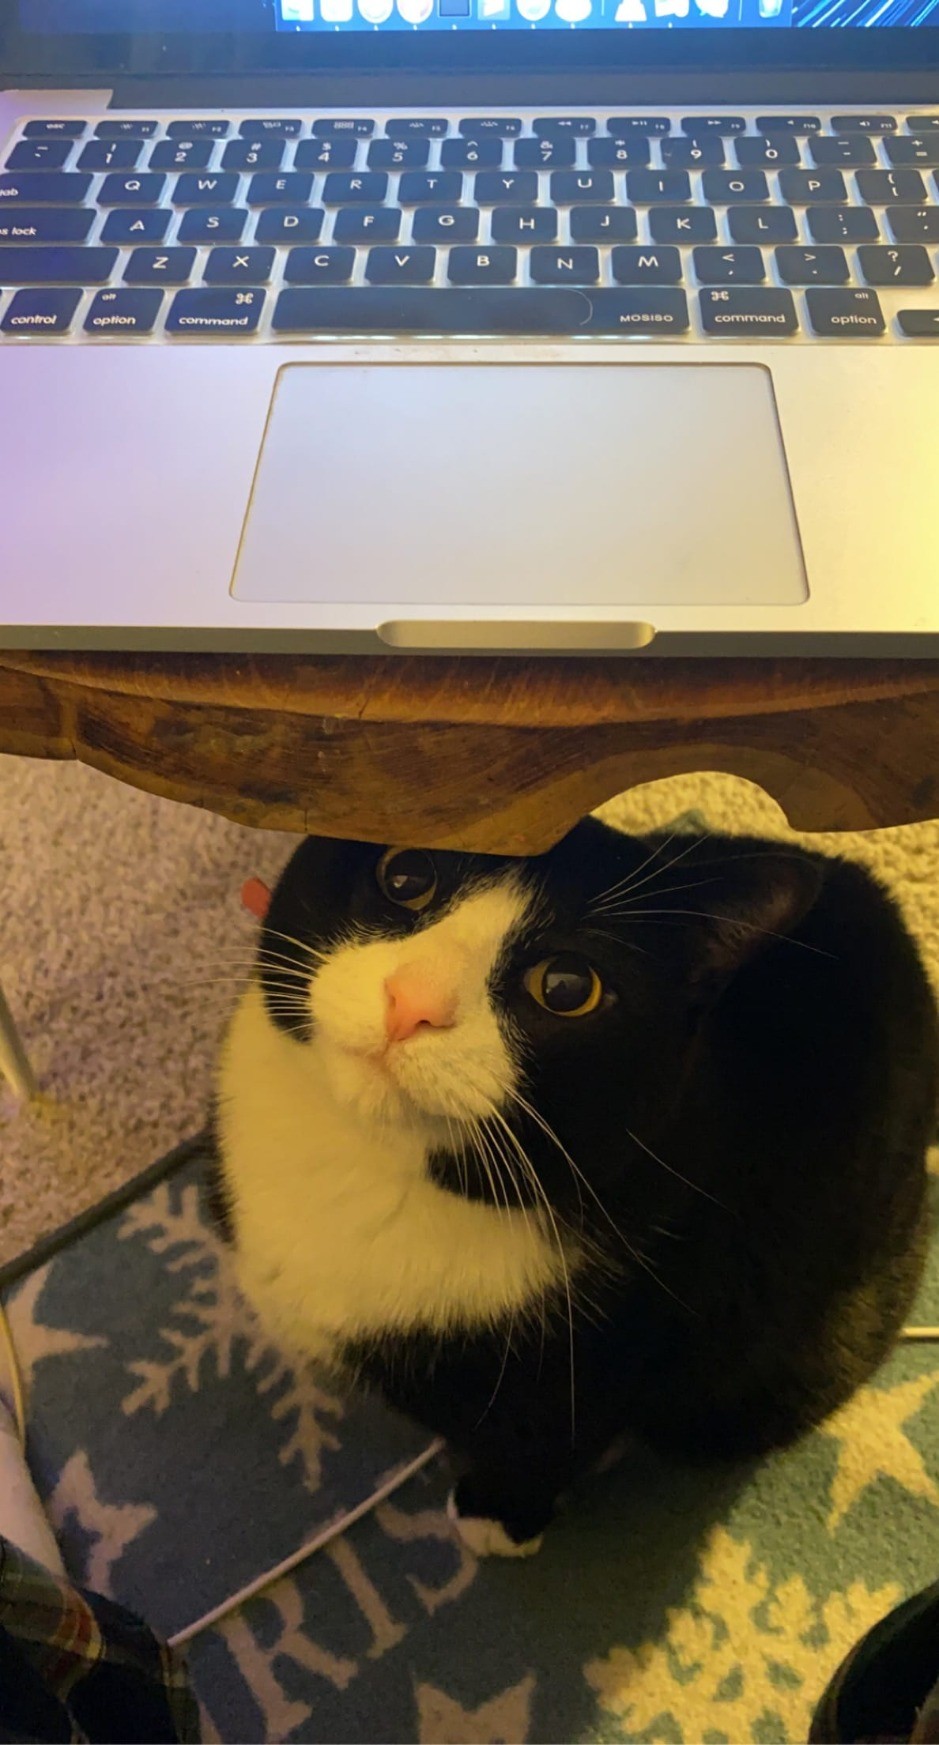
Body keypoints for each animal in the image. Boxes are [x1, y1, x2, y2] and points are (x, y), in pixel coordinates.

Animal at [212, 823, 935, 1563]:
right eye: (406, 874)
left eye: (565, 986)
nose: (411, 1003)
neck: (372, 1162)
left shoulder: (616, 1348)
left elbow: (549, 1440)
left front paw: (498, 1517)